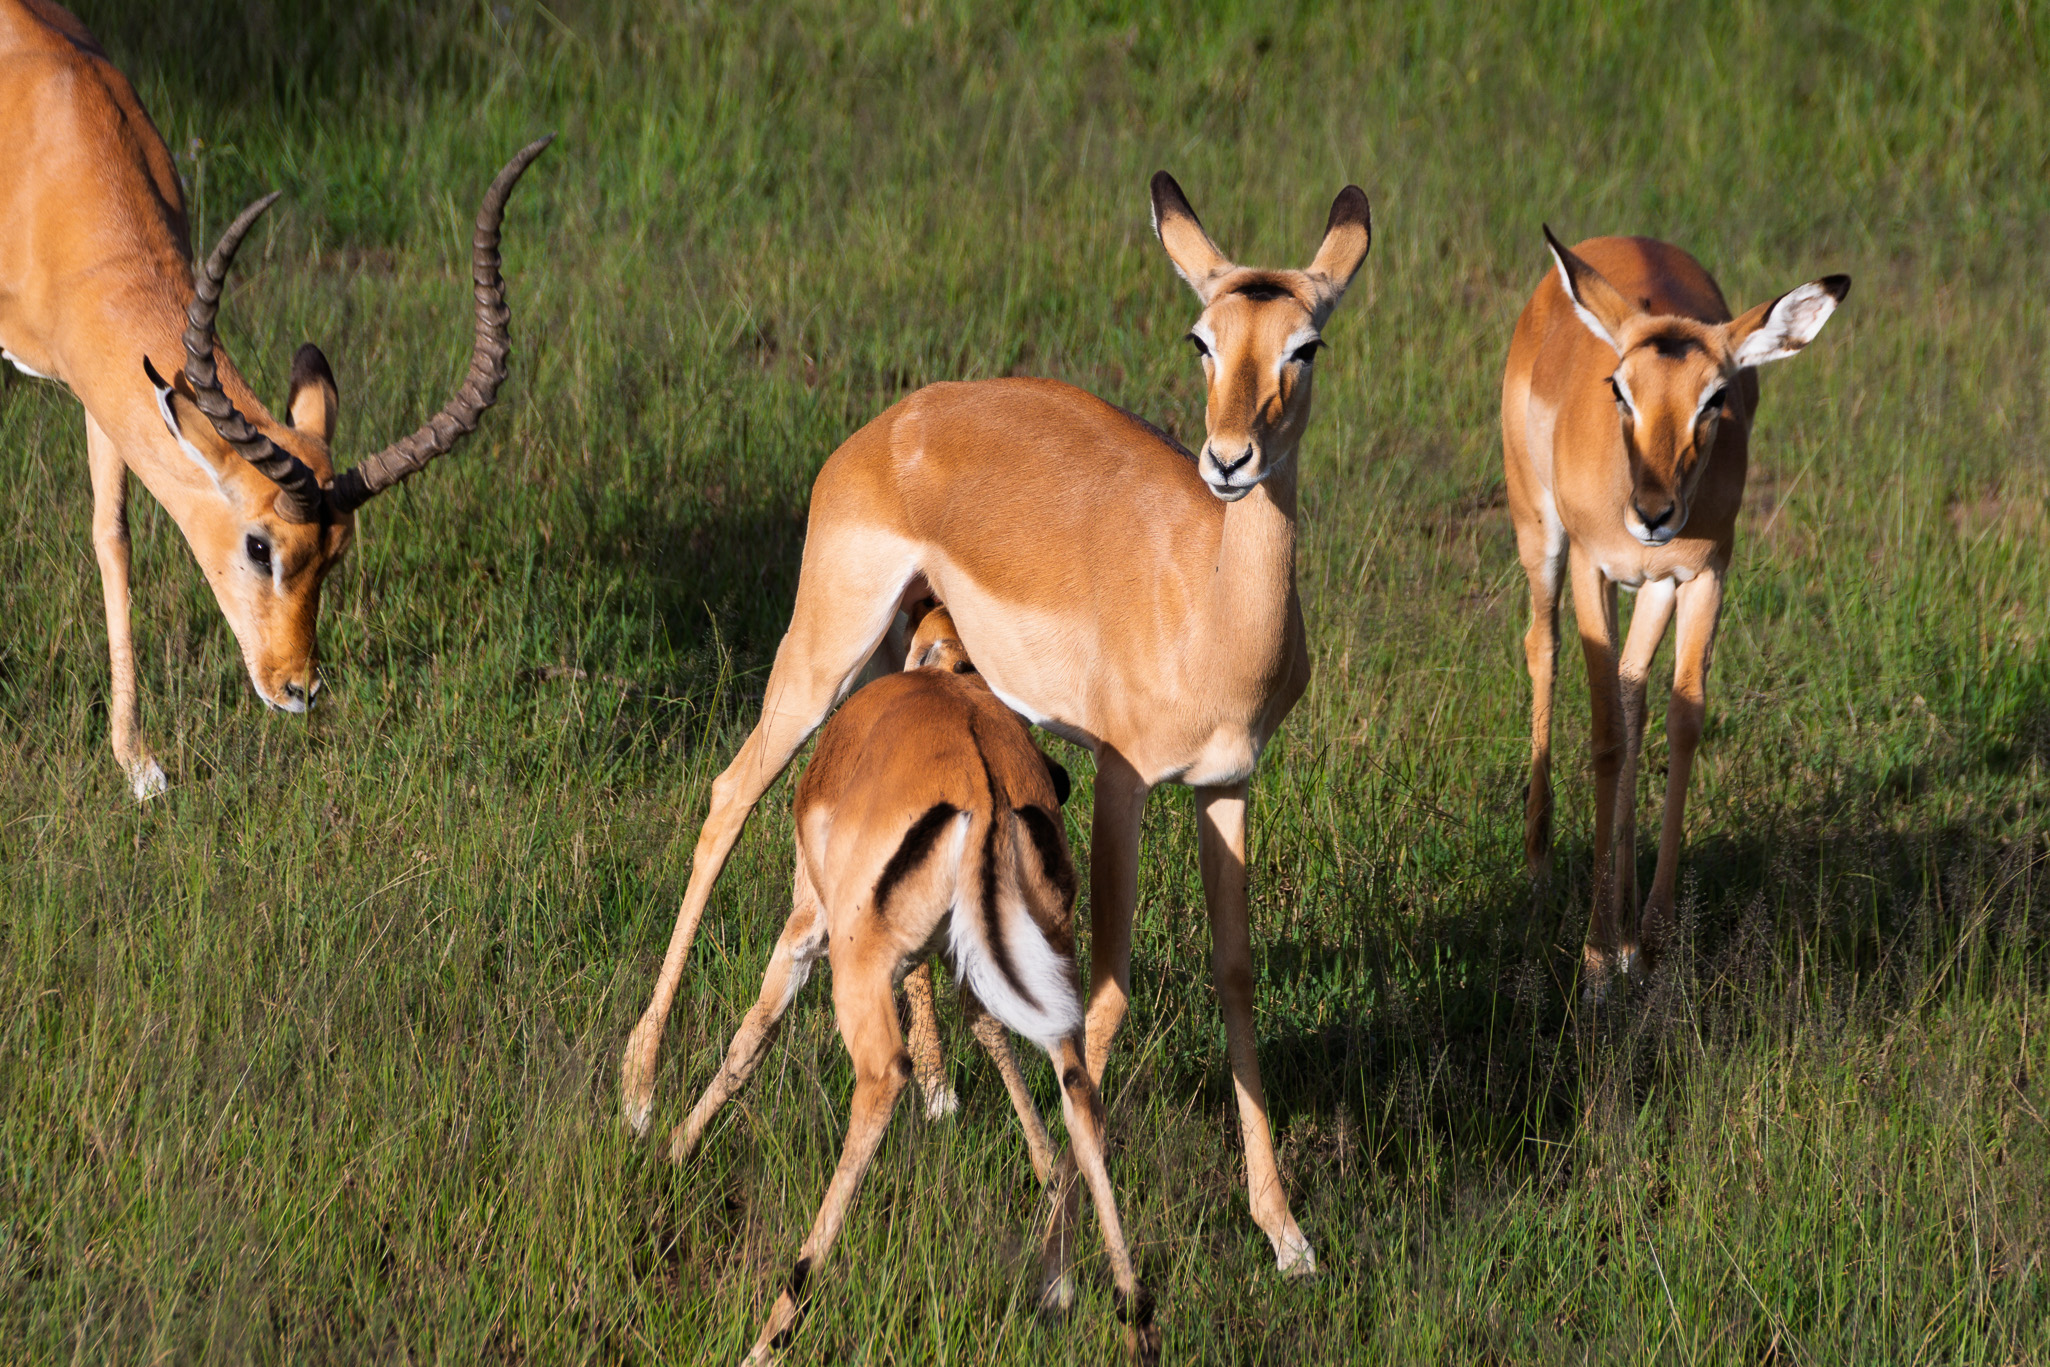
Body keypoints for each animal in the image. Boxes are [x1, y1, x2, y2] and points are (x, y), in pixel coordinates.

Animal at [0, 0, 549, 797]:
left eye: (337, 553)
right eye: (260, 546)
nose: (298, 688)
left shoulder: (102, 385)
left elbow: (114, 538)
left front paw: (139, 766)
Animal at [626, 171, 1371, 1276]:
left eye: (1304, 344)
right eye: (1200, 337)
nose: (1229, 459)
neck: (1207, 596)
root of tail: (890, 423)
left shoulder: (1228, 783)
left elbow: (1235, 975)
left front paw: (1284, 1231)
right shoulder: (1122, 779)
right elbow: (1103, 989)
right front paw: (1067, 1213)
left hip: (899, 666)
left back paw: (935, 1090)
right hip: (823, 652)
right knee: (728, 797)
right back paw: (641, 1098)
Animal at [677, 607, 1157, 1365]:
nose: (1061, 777)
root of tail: (984, 789)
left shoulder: (804, 931)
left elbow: (751, 1037)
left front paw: (670, 1148)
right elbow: (986, 1031)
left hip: (858, 973)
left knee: (884, 1078)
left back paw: (775, 1326)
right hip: (1052, 968)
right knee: (1081, 1090)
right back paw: (1122, 1311)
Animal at [1505, 228, 1848, 989]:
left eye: (1715, 396)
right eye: (1620, 388)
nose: (1654, 513)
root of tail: (1618, 239)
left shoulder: (1701, 573)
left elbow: (1681, 719)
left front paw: (1652, 938)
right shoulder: (1592, 568)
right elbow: (1605, 734)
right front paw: (1598, 955)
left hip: (1653, 585)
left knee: (1633, 686)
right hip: (1540, 534)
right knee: (1542, 649)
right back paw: (1539, 867)